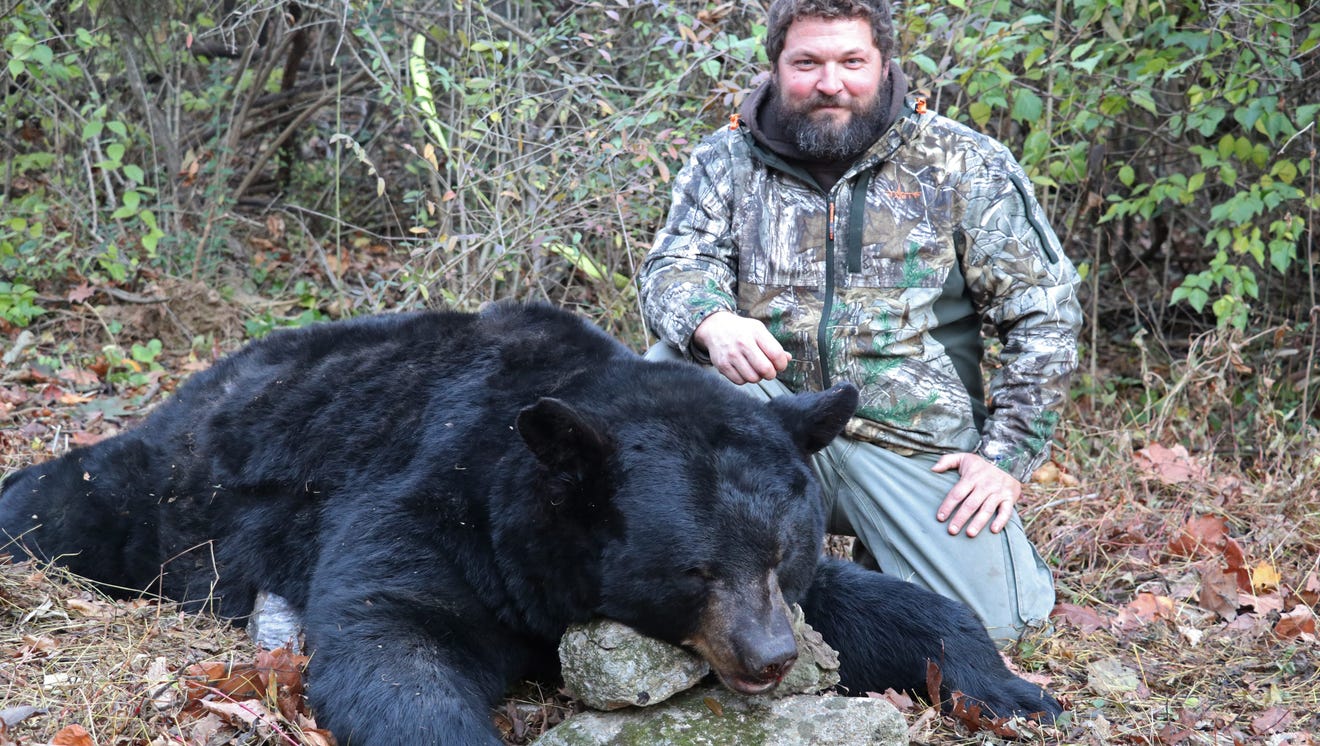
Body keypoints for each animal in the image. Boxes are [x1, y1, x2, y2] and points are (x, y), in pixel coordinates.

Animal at [0, 303, 1061, 744]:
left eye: (779, 557)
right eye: (694, 570)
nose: (768, 660)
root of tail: (221, 368)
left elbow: (892, 606)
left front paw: (1017, 691)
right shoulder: (438, 501)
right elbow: (397, 634)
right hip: (175, 489)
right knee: (69, 498)